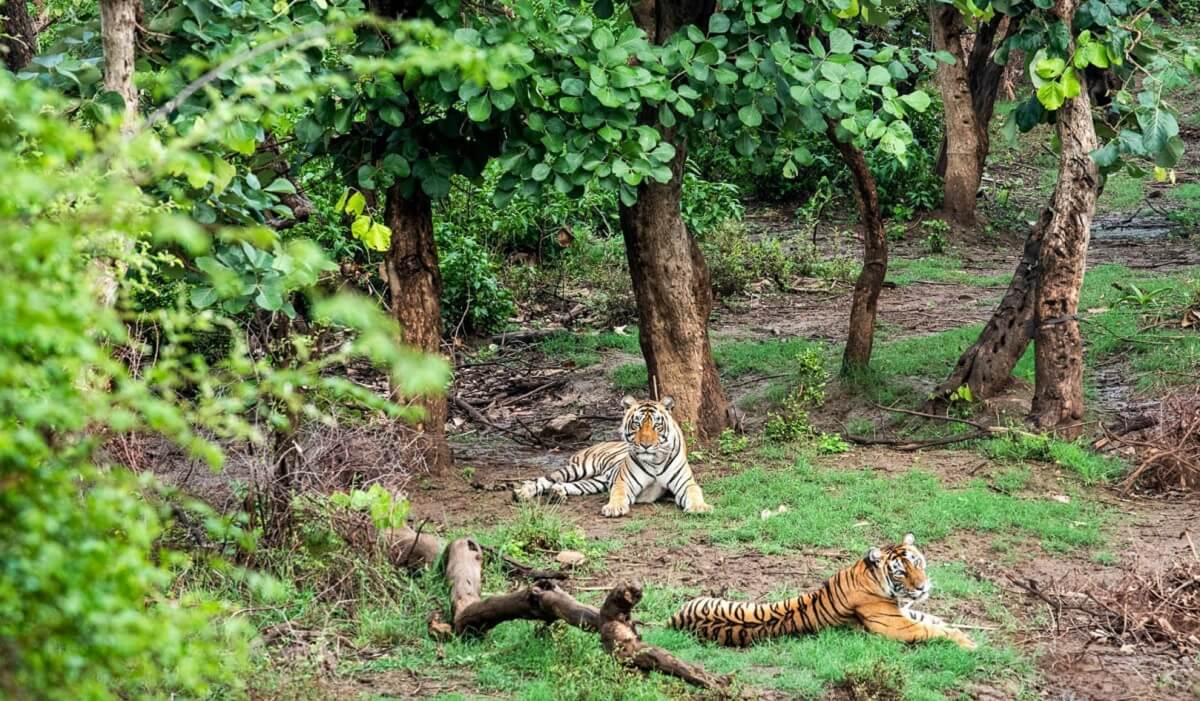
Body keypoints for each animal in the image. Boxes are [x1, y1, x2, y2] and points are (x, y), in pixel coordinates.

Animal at [514, 395, 711, 518]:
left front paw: (699, 507)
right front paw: (614, 508)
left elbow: (695, 492)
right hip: (578, 468)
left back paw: (557, 493)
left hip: (595, 482)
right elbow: (618, 493)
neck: (655, 460)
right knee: (544, 479)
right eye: (637, 424)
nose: (646, 445)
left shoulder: (686, 483)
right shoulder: (623, 482)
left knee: (566, 485)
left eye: (657, 425)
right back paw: (523, 492)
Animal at [668, 533, 975, 650]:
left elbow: (937, 621)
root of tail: (673, 620)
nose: (922, 587)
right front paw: (968, 643)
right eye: (900, 571)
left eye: (918, 563)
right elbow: (933, 630)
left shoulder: (905, 613)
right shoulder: (897, 626)